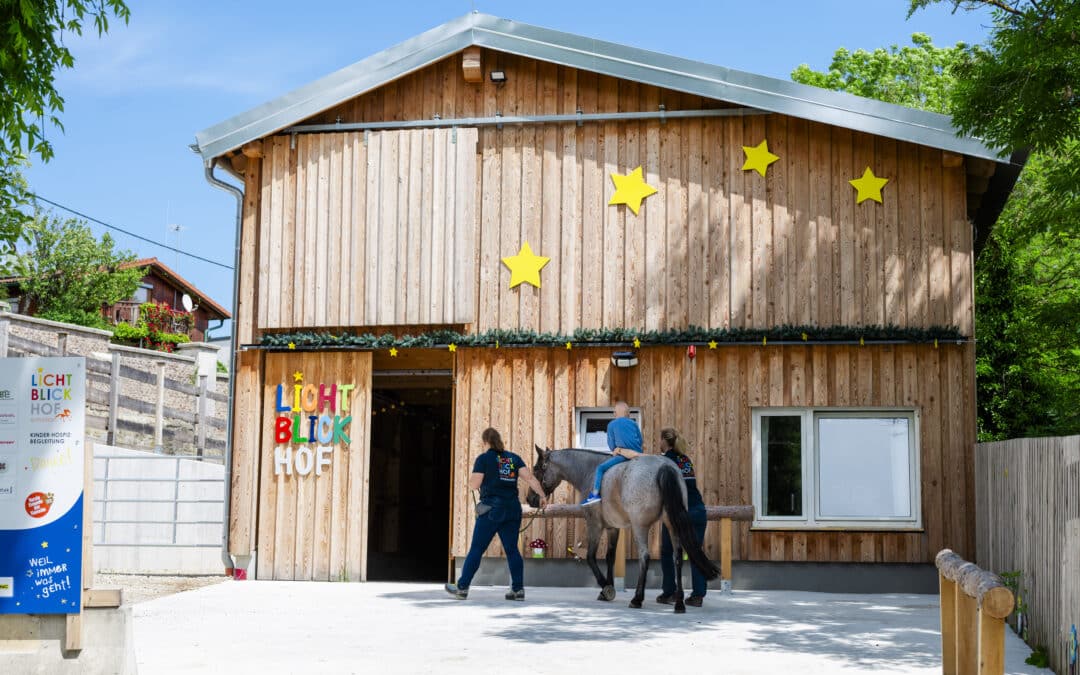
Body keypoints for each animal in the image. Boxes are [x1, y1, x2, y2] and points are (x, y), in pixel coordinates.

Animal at [522, 444, 717, 613]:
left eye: (537, 469)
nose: (531, 499)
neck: (590, 471)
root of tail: (665, 466)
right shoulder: (612, 528)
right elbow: (610, 557)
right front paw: (606, 589)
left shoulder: (594, 524)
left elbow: (590, 557)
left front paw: (606, 588)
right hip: (671, 524)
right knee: (677, 557)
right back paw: (679, 603)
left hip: (640, 526)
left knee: (645, 556)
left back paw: (637, 599)